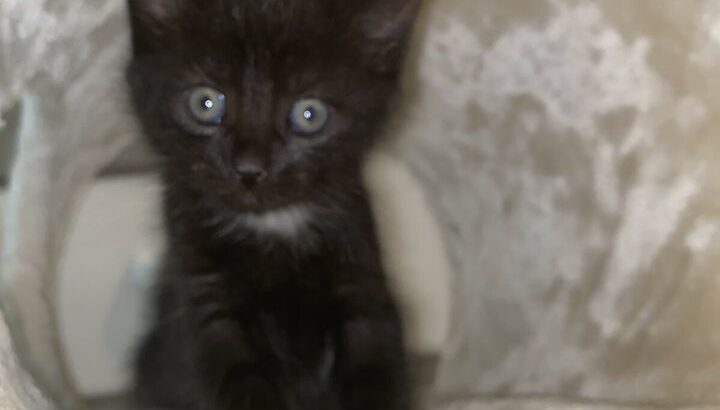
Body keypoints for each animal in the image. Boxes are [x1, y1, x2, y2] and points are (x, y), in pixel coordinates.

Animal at [124, 1, 416, 408]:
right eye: (205, 103)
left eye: (309, 114)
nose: (249, 169)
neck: (274, 225)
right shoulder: (205, 306)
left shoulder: (363, 288)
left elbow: (377, 368)